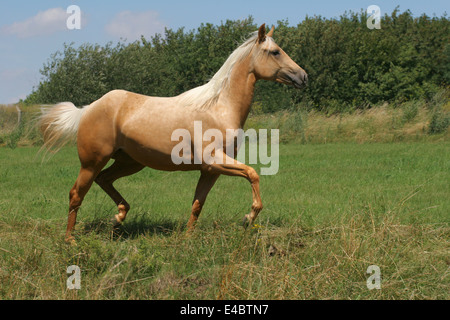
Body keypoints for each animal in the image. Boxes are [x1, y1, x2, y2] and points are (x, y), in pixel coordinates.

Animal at [39, 23, 306, 242]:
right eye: (275, 51)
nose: (303, 76)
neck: (219, 108)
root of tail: (87, 109)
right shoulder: (216, 161)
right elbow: (253, 174)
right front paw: (247, 218)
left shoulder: (210, 170)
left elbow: (197, 204)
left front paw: (187, 240)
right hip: (92, 162)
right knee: (76, 194)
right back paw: (70, 240)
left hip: (130, 162)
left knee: (104, 180)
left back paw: (118, 219)